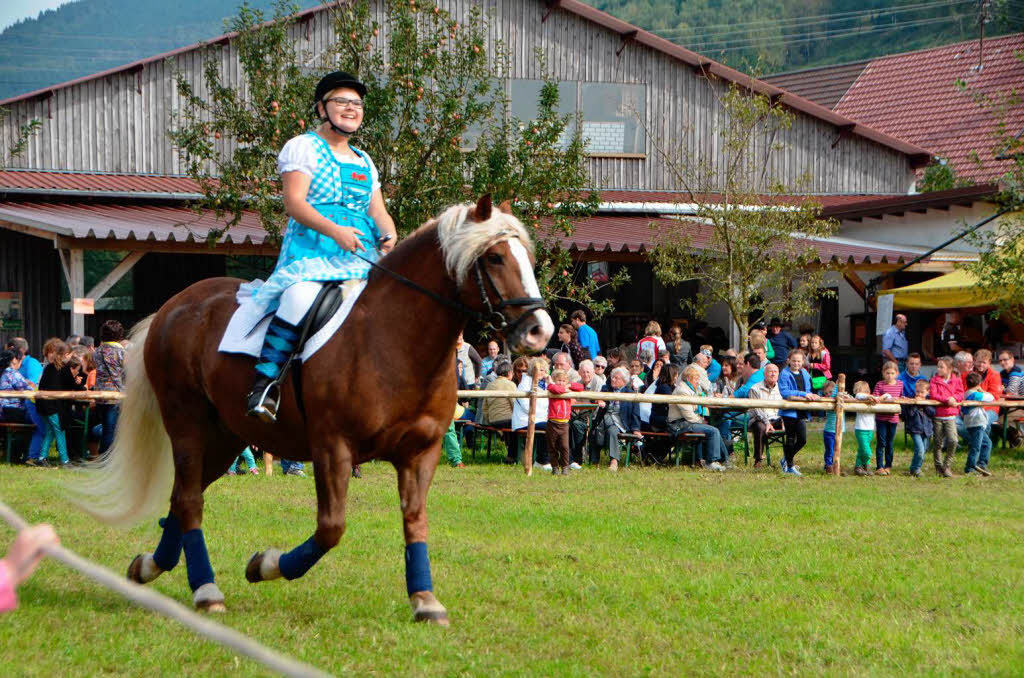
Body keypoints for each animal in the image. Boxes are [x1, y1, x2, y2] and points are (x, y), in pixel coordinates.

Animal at [72, 196, 552, 626]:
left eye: (528, 257)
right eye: (494, 257)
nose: (539, 331)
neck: (392, 340)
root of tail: (173, 307)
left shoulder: (421, 452)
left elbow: (415, 522)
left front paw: (425, 601)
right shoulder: (332, 448)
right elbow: (330, 528)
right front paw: (264, 564)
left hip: (224, 438)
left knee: (182, 498)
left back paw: (149, 568)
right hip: (187, 426)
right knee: (190, 500)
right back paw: (206, 591)